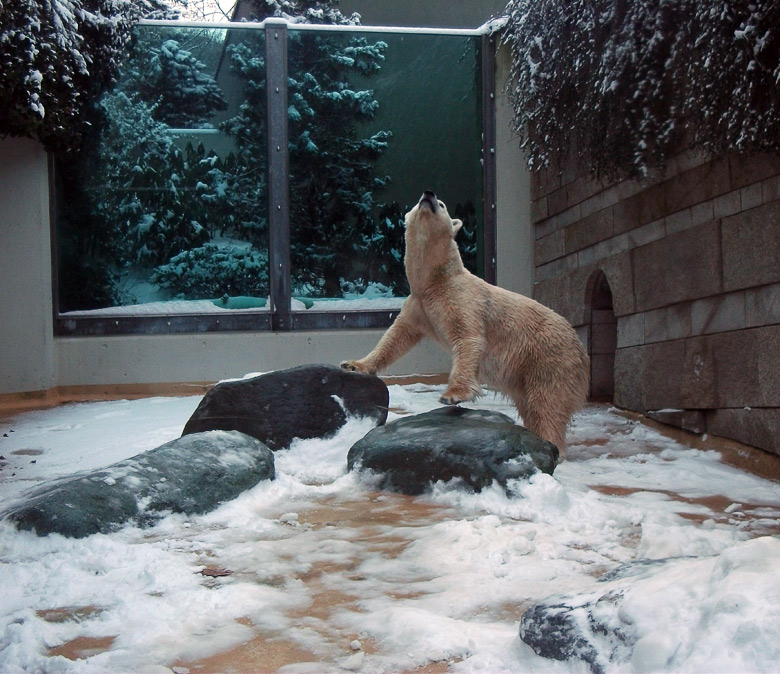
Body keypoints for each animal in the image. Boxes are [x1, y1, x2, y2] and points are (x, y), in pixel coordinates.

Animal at [342, 189, 592, 454]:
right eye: (419, 201)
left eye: (442, 204)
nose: (428, 194)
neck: (436, 280)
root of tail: (582, 351)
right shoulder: (418, 306)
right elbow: (396, 337)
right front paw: (354, 365)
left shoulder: (461, 299)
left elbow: (468, 338)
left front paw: (453, 394)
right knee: (532, 406)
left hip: (548, 360)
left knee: (546, 404)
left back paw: (549, 445)